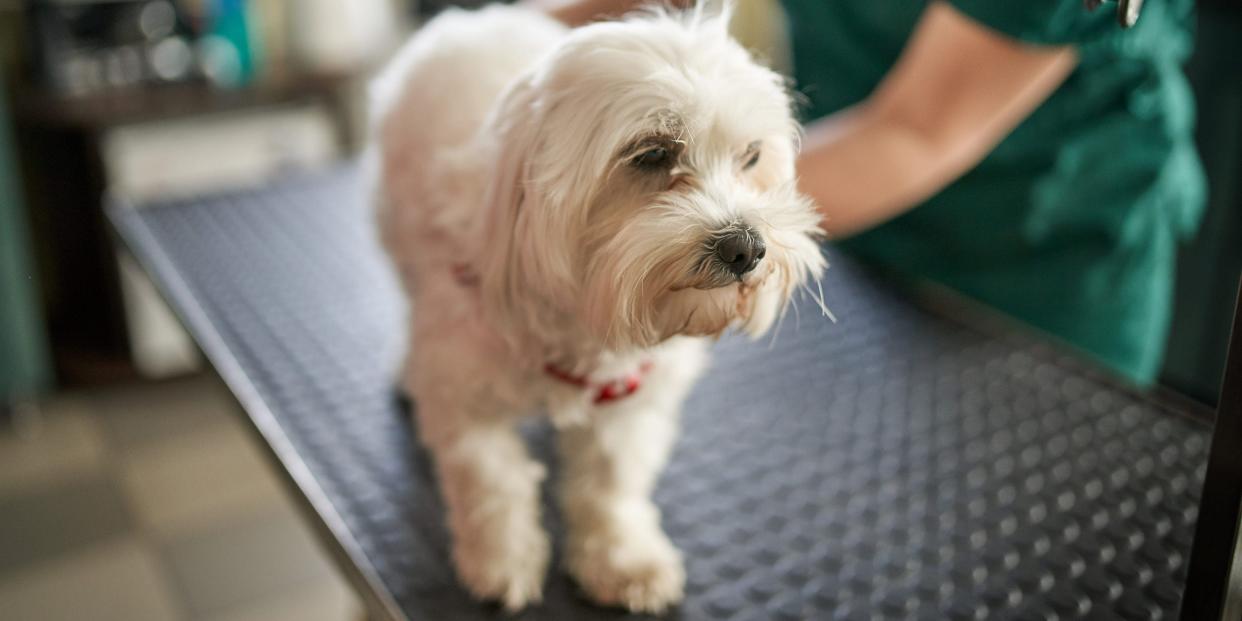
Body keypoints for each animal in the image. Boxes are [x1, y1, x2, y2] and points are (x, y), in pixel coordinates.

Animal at [372, 2, 829, 613]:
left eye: (751, 156)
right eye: (652, 152)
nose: (746, 247)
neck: (583, 323)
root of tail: (476, 18)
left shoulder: (631, 397)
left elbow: (611, 484)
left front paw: (623, 561)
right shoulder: (463, 393)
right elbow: (492, 481)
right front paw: (501, 560)